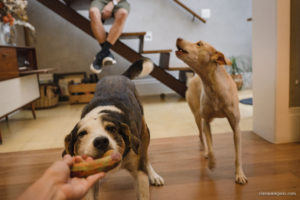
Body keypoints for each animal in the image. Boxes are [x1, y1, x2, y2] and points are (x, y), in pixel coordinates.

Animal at [62, 58, 164, 200]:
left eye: (112, 129)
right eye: (82, 133)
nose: (101, 141)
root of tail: (119, 76)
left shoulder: (139, 172)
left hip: (144, 134)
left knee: (145, 156)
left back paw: (153, 175)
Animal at [175, 38, 247, 184]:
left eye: (199, 44)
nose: (178, 38)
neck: (213, 86)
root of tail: (193, 78)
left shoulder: (235, 126)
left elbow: (238, 155)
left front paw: (239, 174)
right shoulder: (207, 121)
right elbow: (211, 146)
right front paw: (212, 163)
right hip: (198, 116)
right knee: (201, 136)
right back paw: (205, 152)